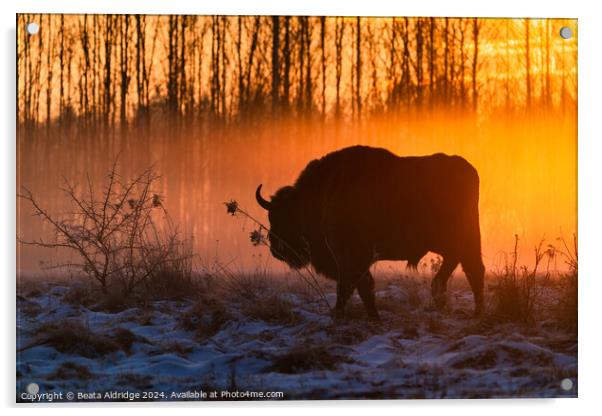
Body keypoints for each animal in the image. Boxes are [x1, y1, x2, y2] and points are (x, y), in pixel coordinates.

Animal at [253, 146, 482, 318]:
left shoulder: (348, 257)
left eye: (282, 218)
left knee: (474, 269)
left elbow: (353, 286)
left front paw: (345, 314)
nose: (276, 249)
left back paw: (476, 313)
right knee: (456, 267)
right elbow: (361, 286)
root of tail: (469, 170)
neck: (320, 195)